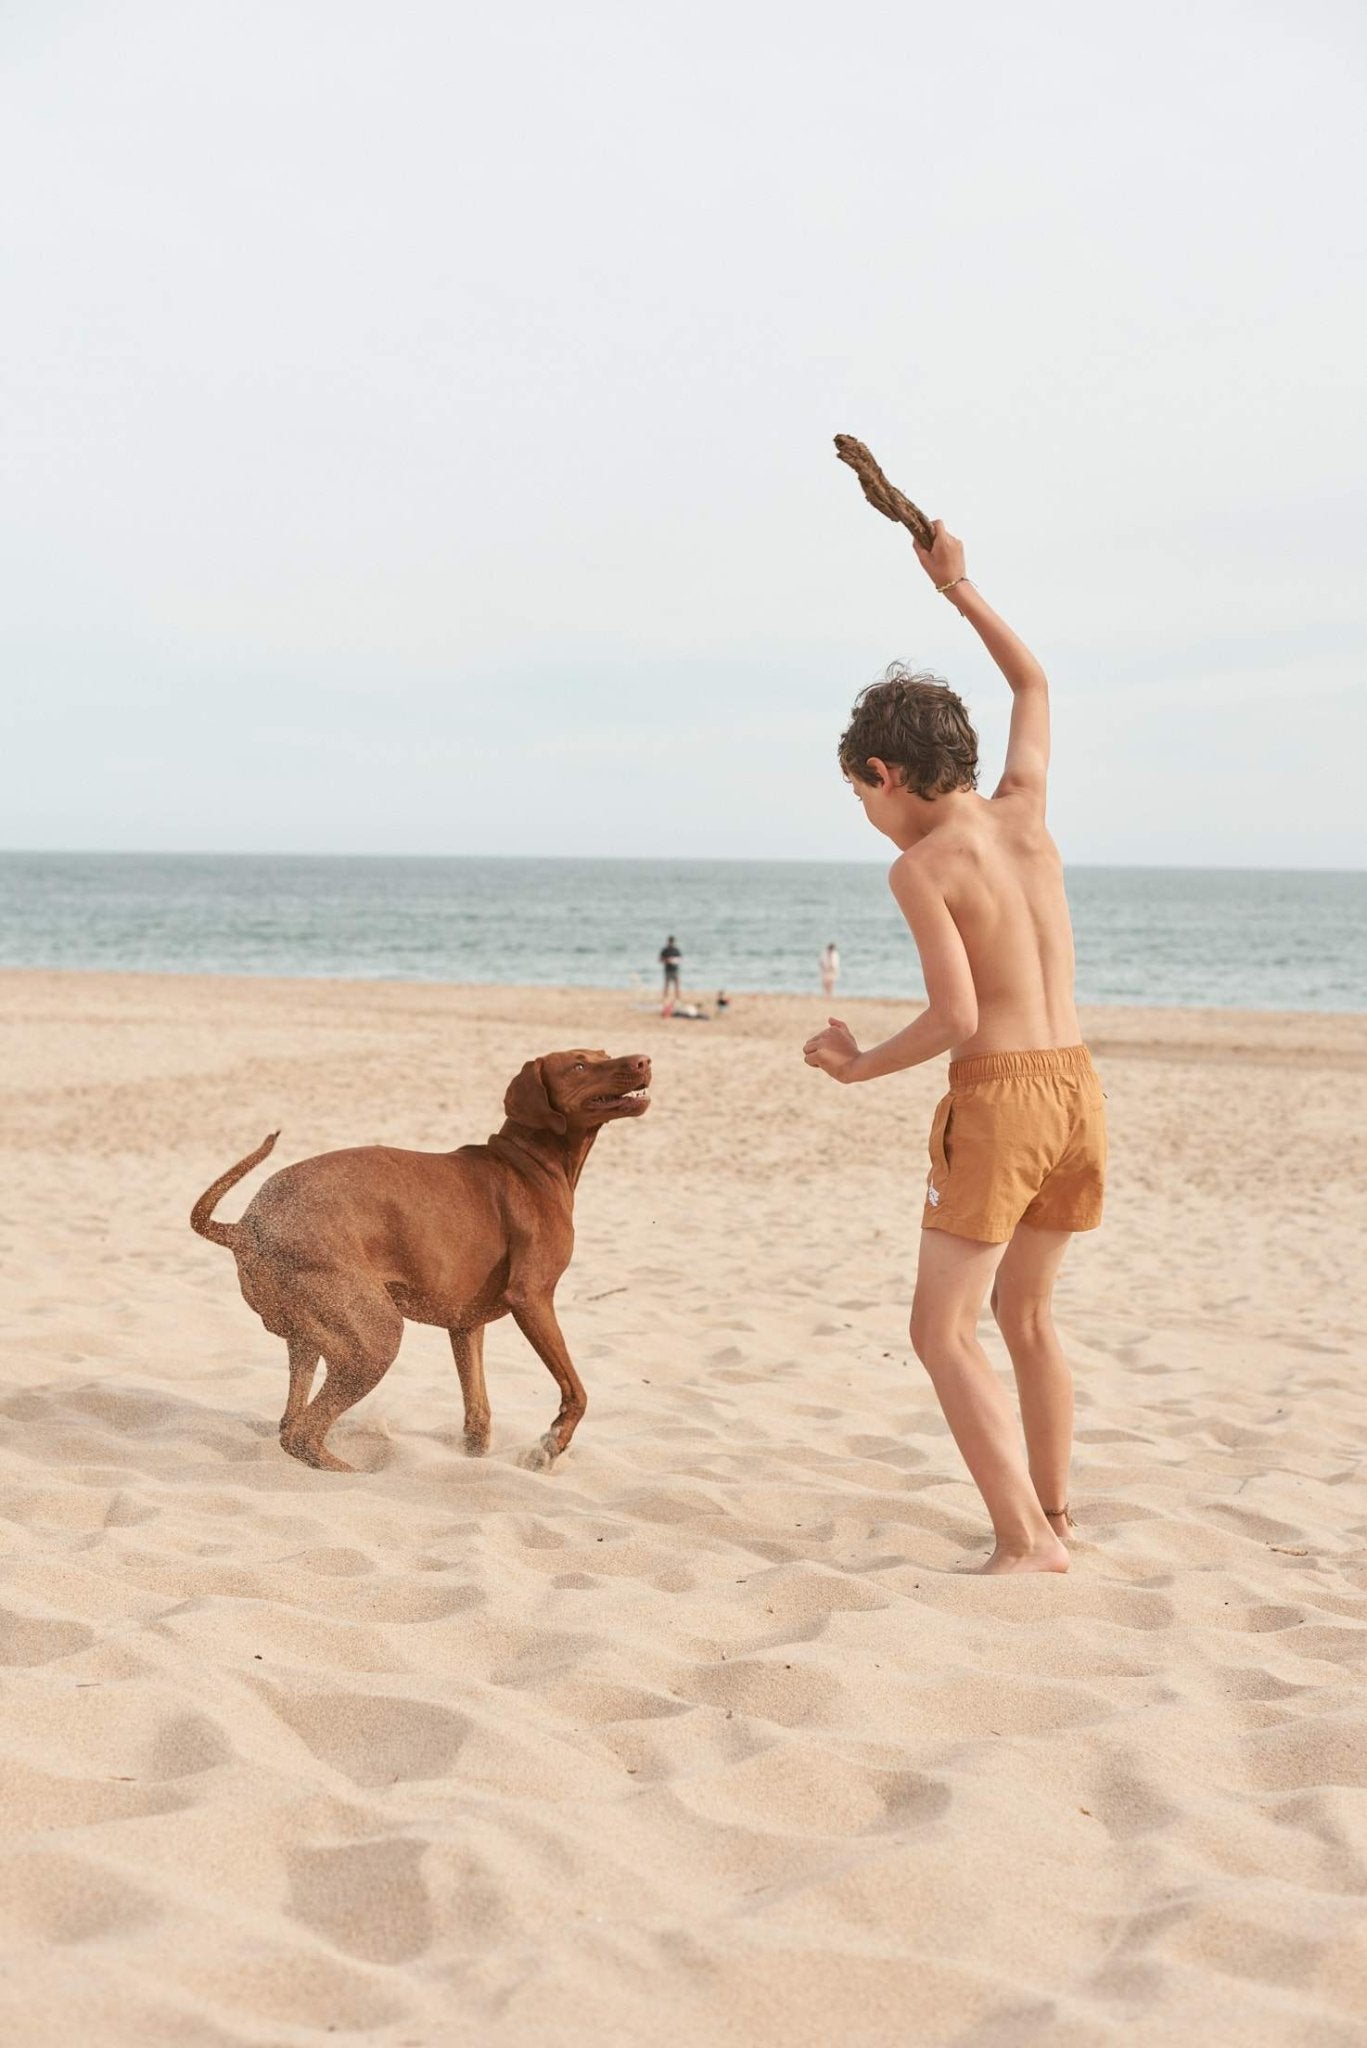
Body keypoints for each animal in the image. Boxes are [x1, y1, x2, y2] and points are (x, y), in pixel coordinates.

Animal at [188, 1056, 651, 1474]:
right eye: (579, 1065)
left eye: (603, 1054)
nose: (643, 1060)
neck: (531, 1162)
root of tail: (245, 1227)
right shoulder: (532, 1299)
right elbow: (577, 1392)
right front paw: (550, 1447)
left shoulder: (466, 1326)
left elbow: (478, 1416)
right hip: (375, 1339)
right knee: (303, 1433)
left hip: (309, 1338)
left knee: (290, 1423)